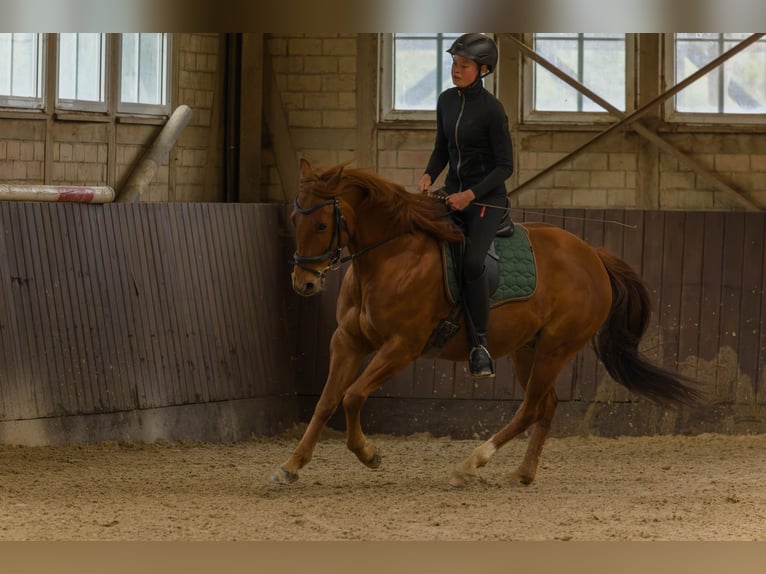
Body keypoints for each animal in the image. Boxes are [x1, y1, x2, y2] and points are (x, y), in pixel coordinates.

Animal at [272, 160, 704, 488]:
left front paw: (369, 454)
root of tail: (593, 256)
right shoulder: (347, 341)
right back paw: (522, 474)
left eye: (322, 225)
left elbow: (353, 396)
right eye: (294, 218)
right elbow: (327, 401)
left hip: (556, 348)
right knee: (546, 405)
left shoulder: (402, 347)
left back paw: (472, 463)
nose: (303, 283)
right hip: (529, 349)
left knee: (531, 408)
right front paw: (291, 466)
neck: (391, 256)